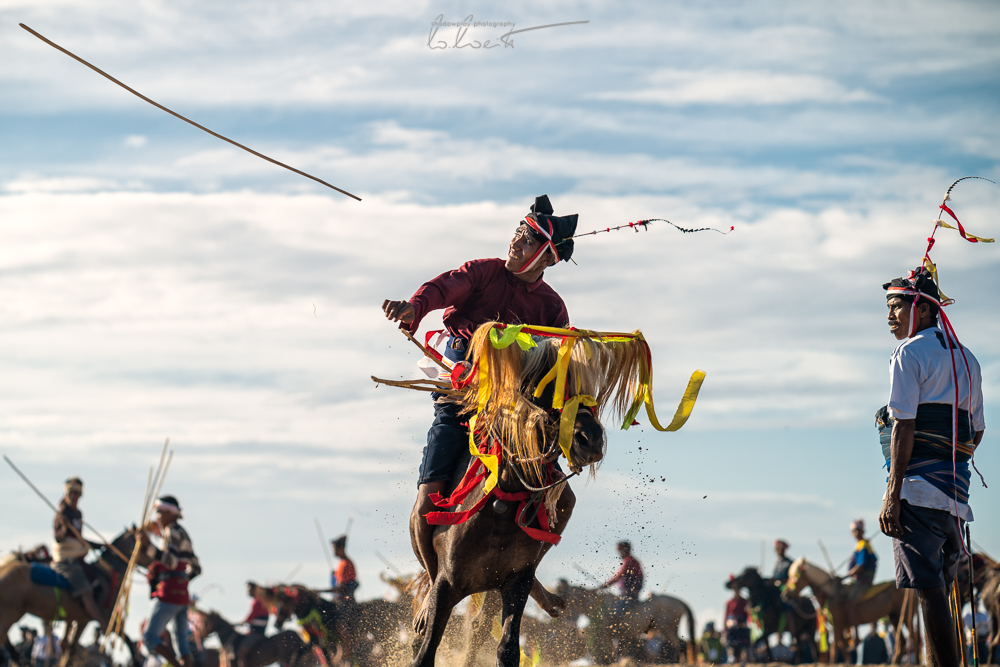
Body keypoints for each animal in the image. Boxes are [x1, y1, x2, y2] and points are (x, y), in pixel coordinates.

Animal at [0, 528, 147, 667]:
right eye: (146, 543)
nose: (156, 557)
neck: (105, 576)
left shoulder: (80, 619)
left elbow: (69, 648)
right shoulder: (100, 617)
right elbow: (126, 638)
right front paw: (136, 661)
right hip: (10, 613)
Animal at [784, 560, 916, 664]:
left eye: (795, 577)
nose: (785, 595)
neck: (831, 595)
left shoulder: (838, 625)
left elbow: (835, 646)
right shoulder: (841, 626)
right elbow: (842, 646)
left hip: (905, 616)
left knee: (915, 638)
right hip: (894, 617)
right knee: (902, 641)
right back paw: (895, 662)